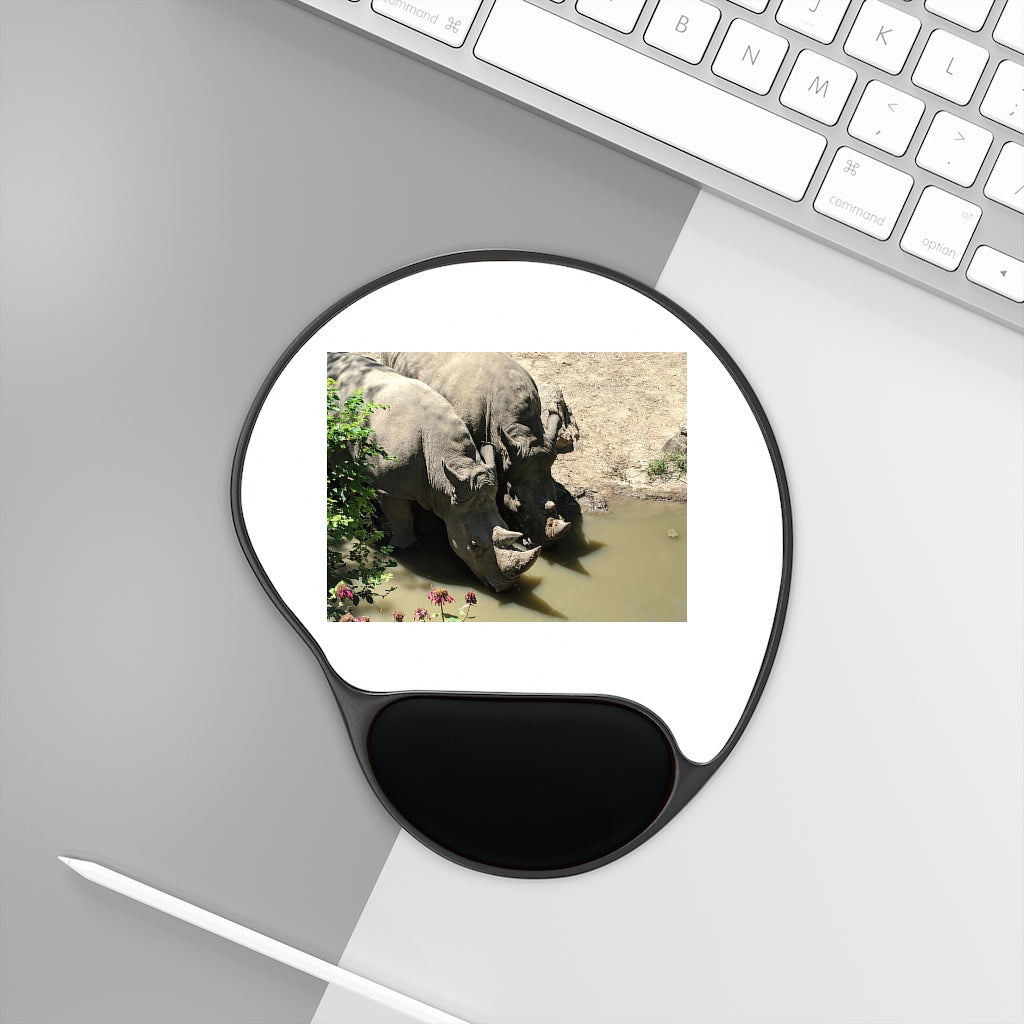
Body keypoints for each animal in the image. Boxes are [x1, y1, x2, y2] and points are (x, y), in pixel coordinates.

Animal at [327, 353, 540, 592]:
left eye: (507, 527)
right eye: (474, 545)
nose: (506, 587)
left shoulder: (441, 487)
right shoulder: (390, 489)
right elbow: (401, 519)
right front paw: (405, 548)